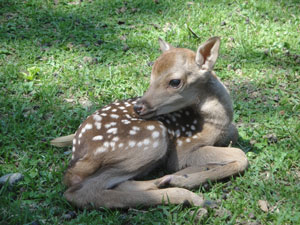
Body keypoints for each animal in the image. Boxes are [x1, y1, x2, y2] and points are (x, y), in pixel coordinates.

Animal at [51, 37, 248, 209]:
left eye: (175, 82)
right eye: (151, 77)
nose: (138, 107)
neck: (217, 122)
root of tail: (79, 153)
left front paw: (185, 175)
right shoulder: (184, 148)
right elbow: (241, 156)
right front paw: (185, 179)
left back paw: (167, 181)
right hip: (152, 140)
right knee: (82, 191)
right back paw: (190, 196)